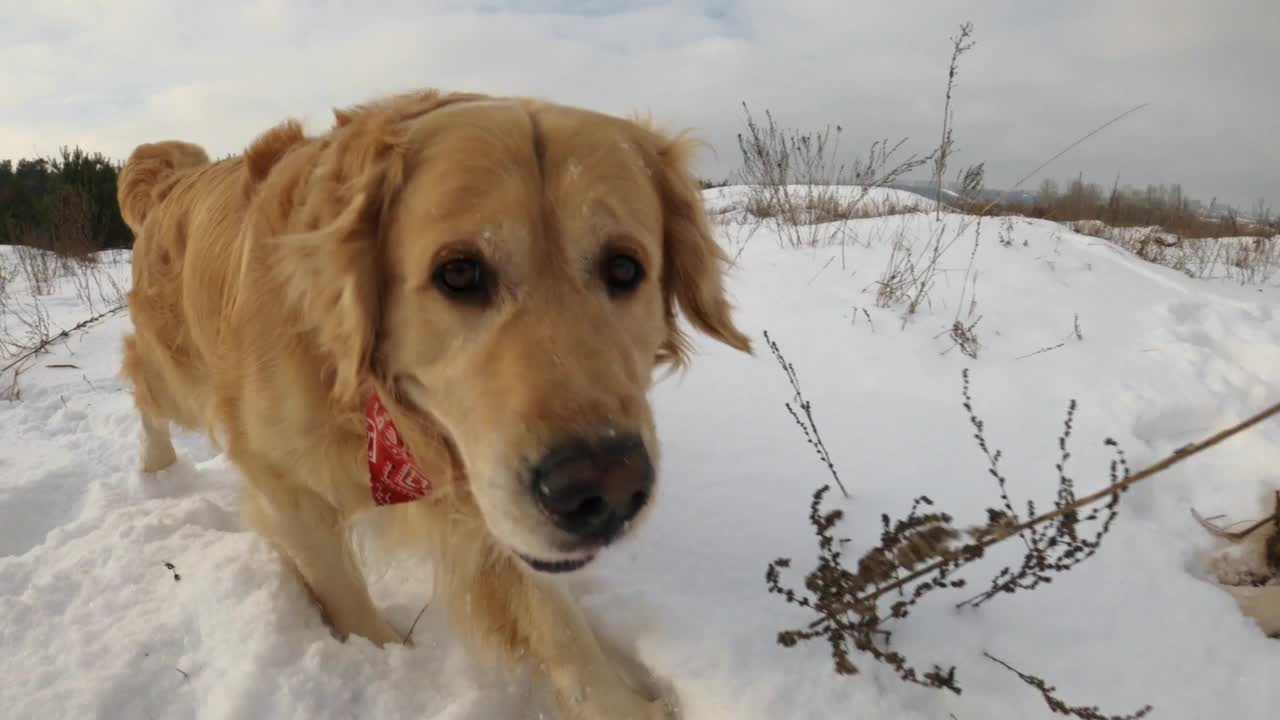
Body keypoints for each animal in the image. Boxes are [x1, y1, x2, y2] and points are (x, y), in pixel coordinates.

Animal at [116, 90, 752, 717]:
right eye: (460, 273)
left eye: (625, 267)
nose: (607, 490)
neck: (379, 408)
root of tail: (173, 176)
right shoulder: (286, 485)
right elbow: (346, 599)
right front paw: (385, 669)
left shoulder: (483, 492)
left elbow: (559, 623)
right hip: (179, 377)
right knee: (141, 378)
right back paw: (155, 466)